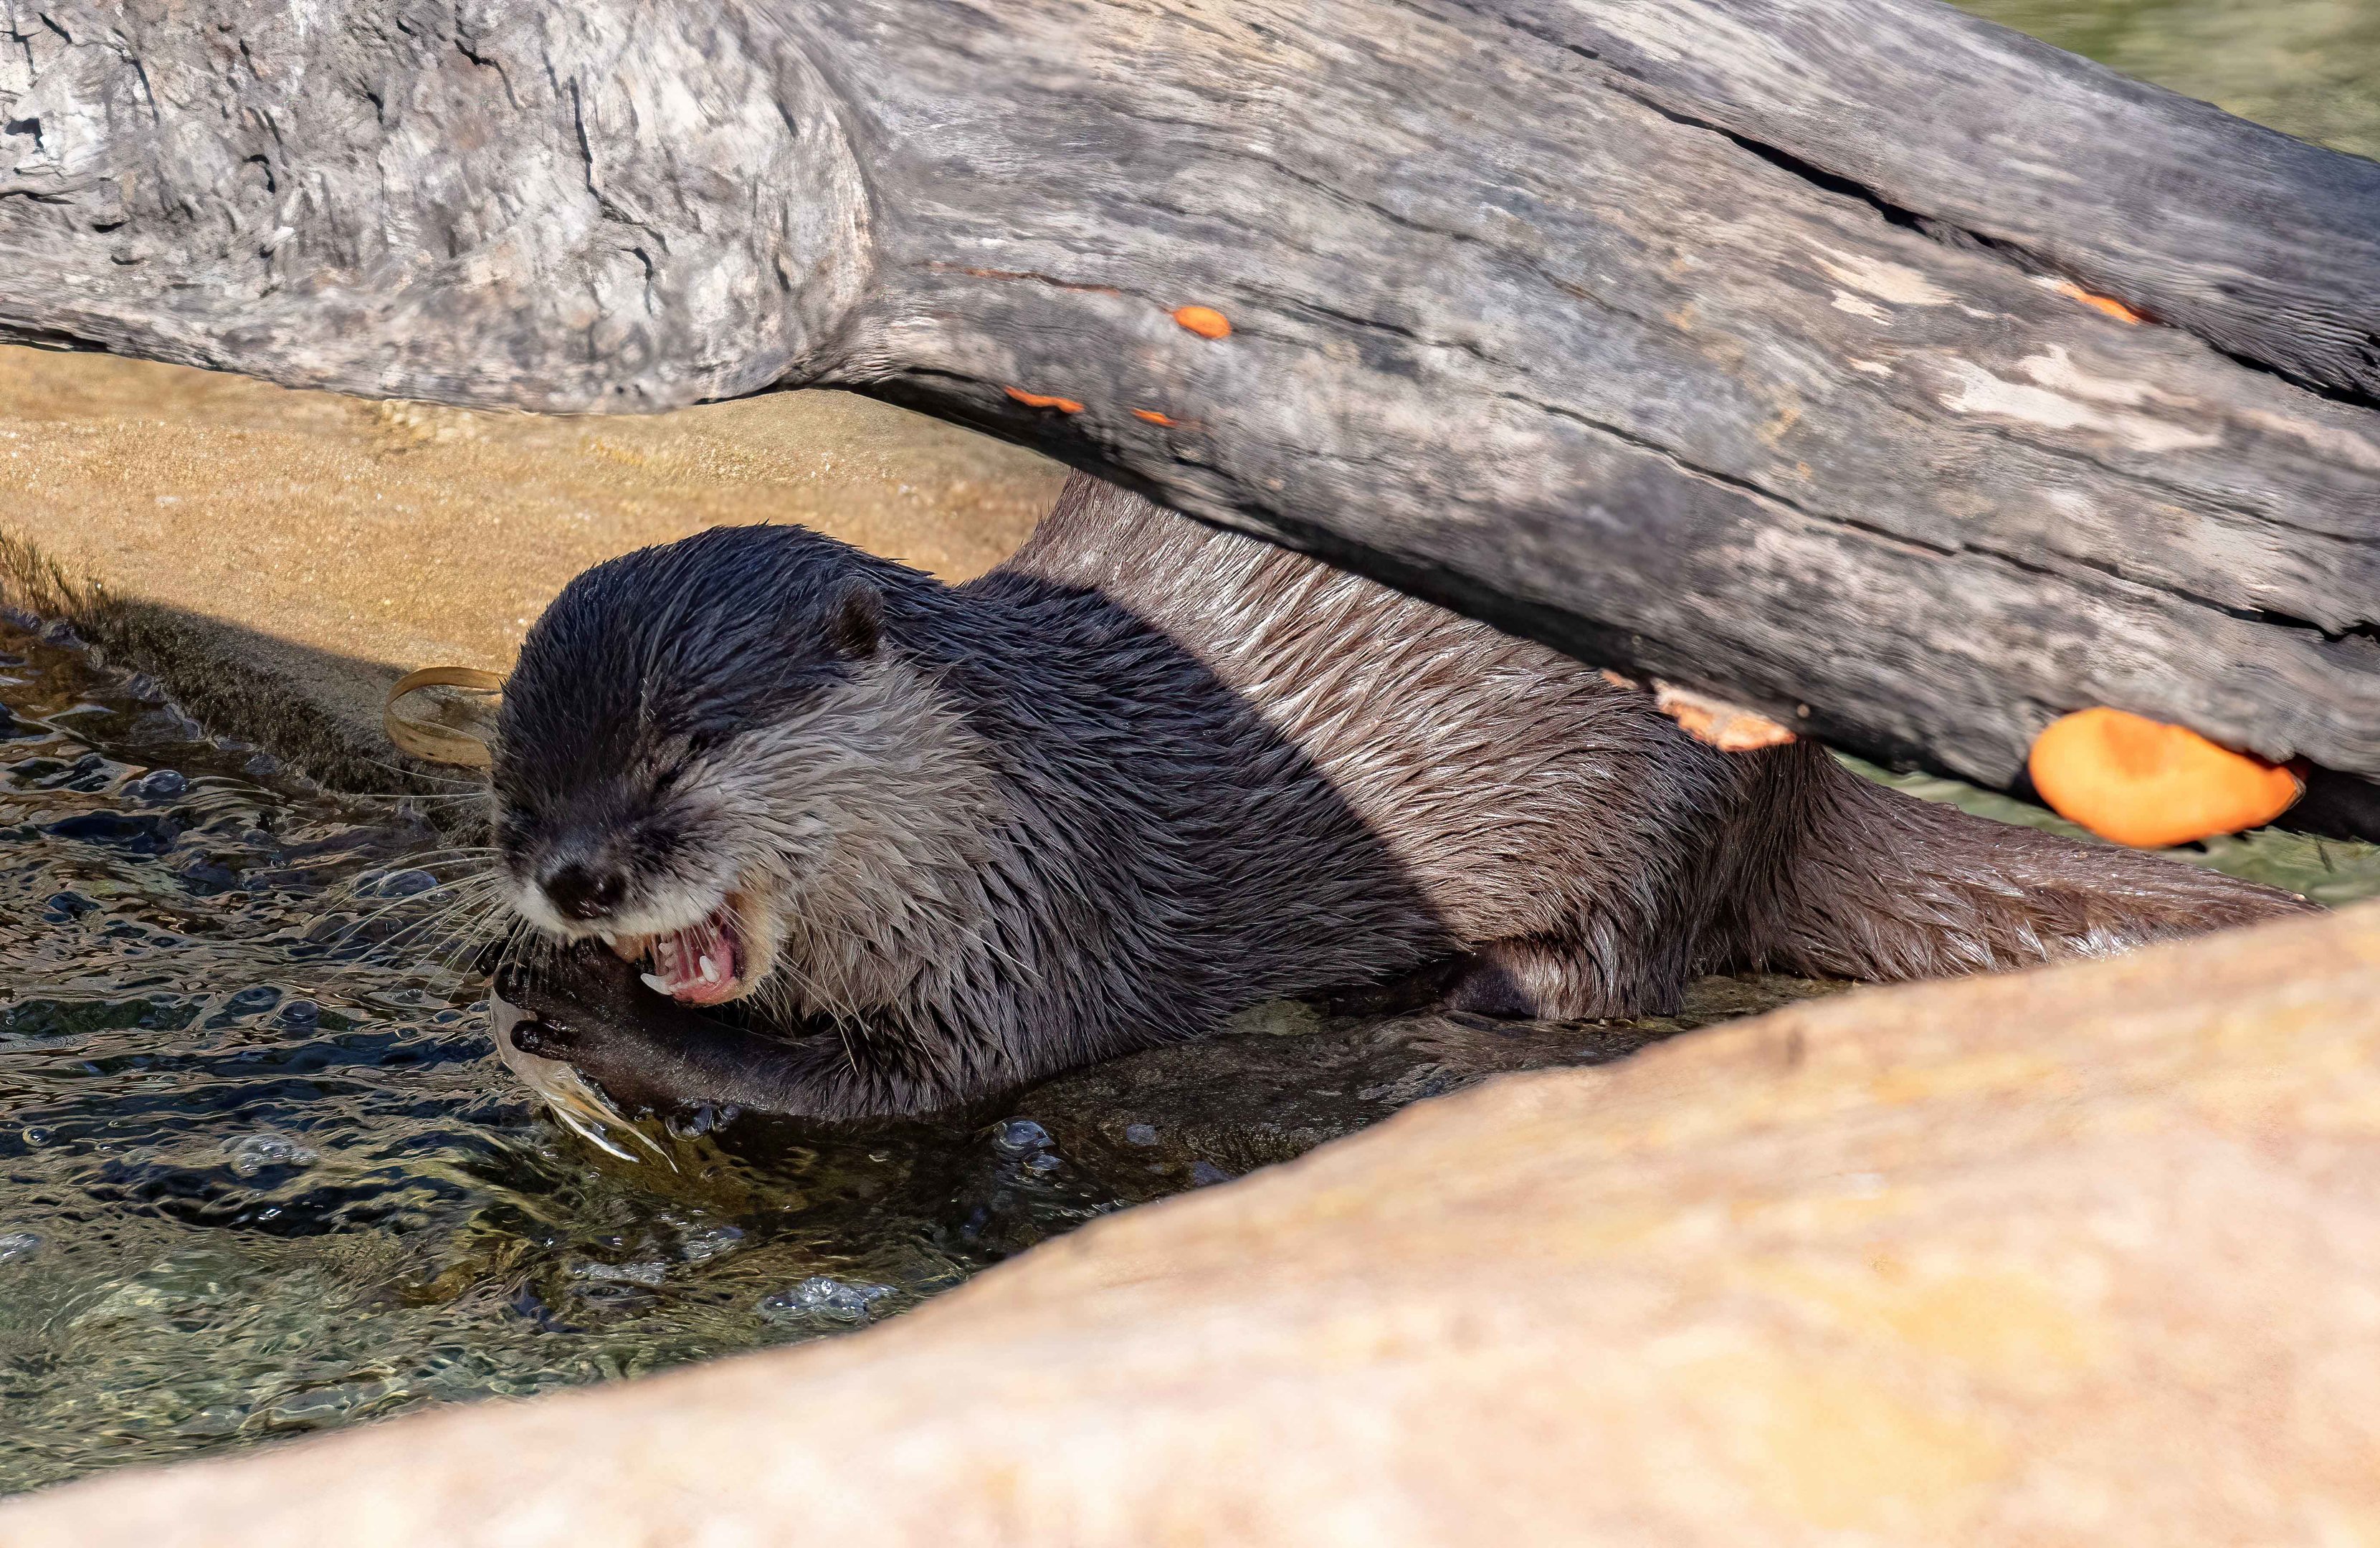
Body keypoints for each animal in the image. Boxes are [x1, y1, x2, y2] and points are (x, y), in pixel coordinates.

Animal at [490, 473, 2310, 1119]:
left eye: (677, 749)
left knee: (1626, 961)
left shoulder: (1033, 931)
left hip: (1661, 798)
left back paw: (1448, 987)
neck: (997, 787)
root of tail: (1803, 771)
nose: (575, 879)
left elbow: (893, 1084)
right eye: (515, 786)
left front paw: (602, 1020)